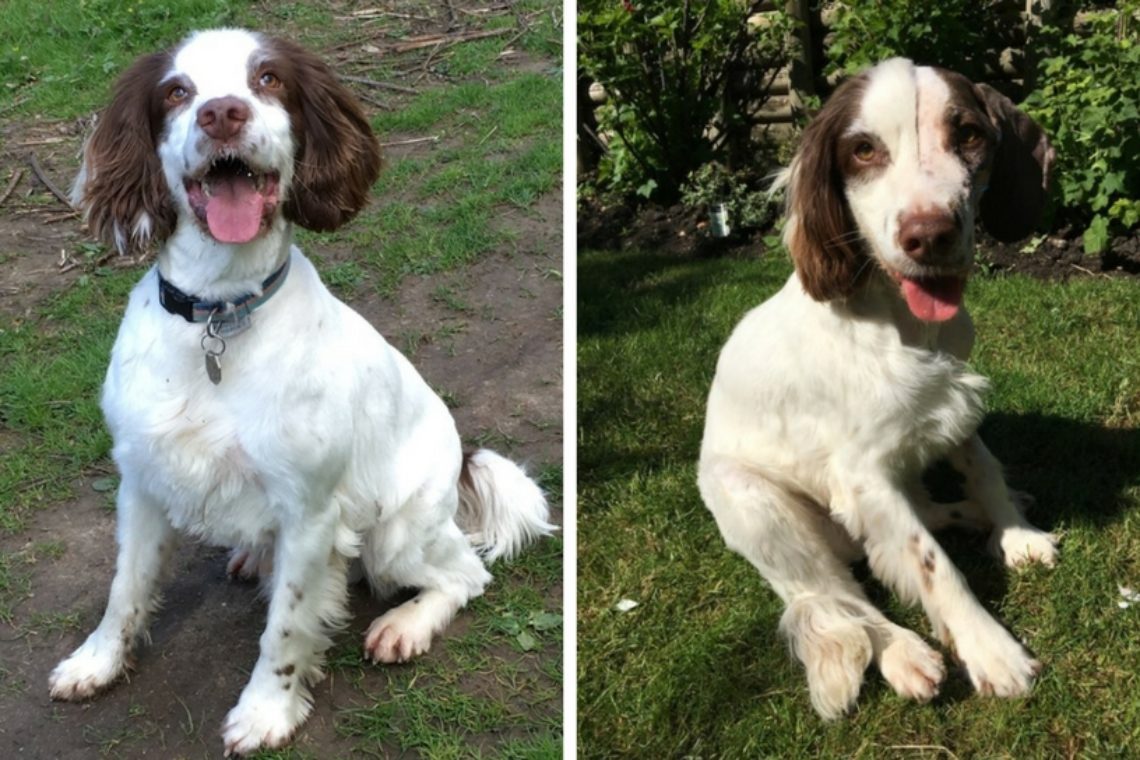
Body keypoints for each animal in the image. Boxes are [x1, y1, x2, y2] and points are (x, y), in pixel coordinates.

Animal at [46, 28, 554, 756]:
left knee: (465, 574)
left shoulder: (310, 513)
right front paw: (96, 662)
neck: (219, 315)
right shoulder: (142, 479)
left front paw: (267, 711)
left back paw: (405, 625)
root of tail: (461, 461)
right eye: (176, 92)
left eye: (268, 80)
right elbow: (125, 590)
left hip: (397, 535)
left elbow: (285, 630)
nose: (222, 114)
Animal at [693, 59, 1057, 720]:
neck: (905, 323)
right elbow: (932, 565)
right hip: (763, 510)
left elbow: (983, 469)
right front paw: (993, 651)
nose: (929, 234)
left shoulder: (951, 407)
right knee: (839, 597)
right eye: (863, 150)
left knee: (902, 530)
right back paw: (903, 655)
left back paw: (966, 515)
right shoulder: (862, 476)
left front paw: (1015, 533)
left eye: (968, 134)